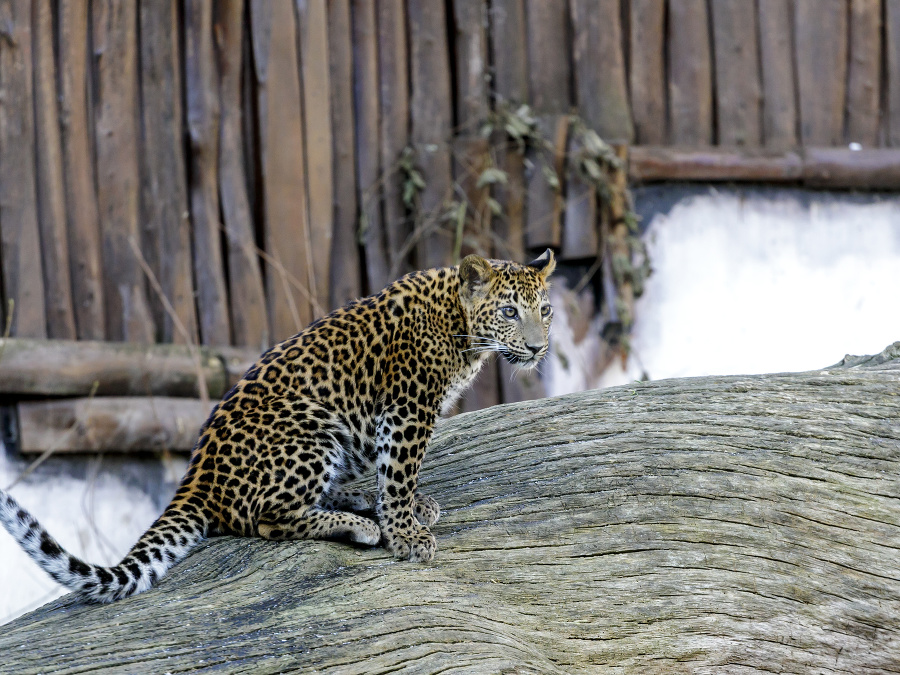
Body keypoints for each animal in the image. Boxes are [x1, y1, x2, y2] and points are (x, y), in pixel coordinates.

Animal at [0, 250, 555, 603]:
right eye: (509, 311)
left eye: (545, 310)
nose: (537, 347)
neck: (460, 326)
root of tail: (196, 479)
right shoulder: (407, 409)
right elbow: (398, 474)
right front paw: (404, 536)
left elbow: (394, 475)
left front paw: (407, 509)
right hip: (310, 425)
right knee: (266, 519)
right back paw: (358, 524)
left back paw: (359, 500)